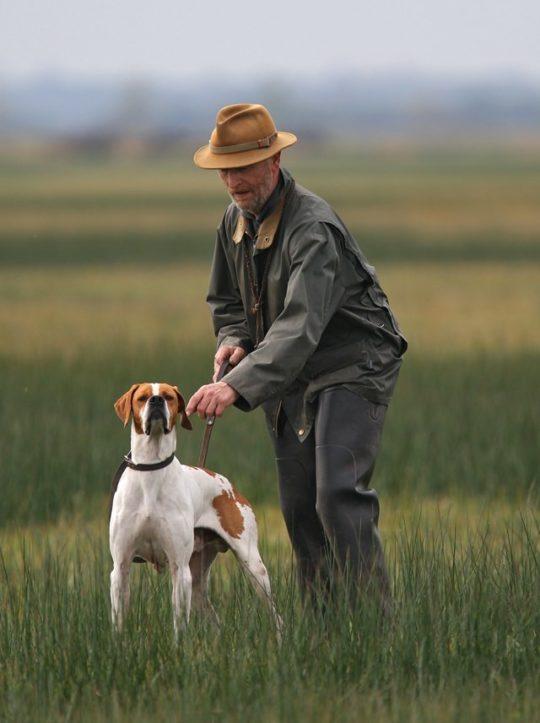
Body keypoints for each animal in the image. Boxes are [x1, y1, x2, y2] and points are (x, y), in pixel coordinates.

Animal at [108, 382, 280, 636]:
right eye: (142, 398)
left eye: (169, 396)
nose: (156, 401)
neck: (151, 468)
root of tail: (227, 485)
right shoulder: (120, 567)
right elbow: (118, 622)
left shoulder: (180, 570)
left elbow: (179, 625)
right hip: (198, 584)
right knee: (216, 622)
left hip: (253, 568)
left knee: (276, 616)